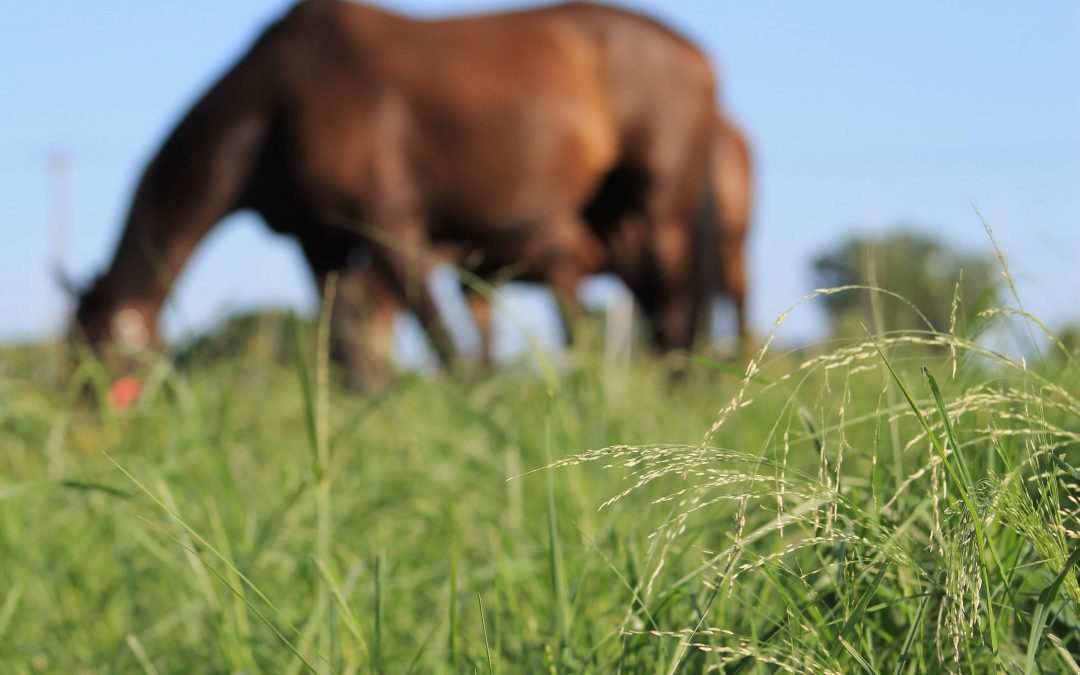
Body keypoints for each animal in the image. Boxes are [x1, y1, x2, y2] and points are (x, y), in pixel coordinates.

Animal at [73, 0, 717, 388]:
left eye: (100, 356)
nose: (88, 428)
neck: (274, 108)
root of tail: (699, 55)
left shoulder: (389, 220)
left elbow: (439, 337)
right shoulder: (319, 242)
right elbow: (346, 349)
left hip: (661, 205)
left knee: (678, 306)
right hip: (609, 216)